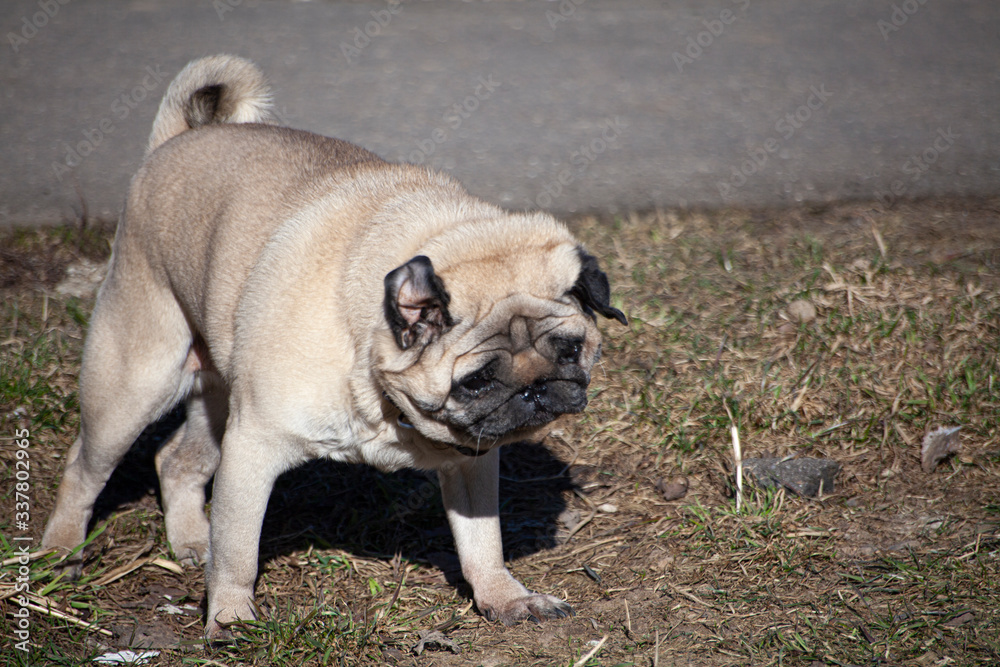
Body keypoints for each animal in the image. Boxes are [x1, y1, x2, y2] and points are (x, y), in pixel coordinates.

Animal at [48, 54, 624, 640]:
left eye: (570, 350)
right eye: (478, 380)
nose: (537, 387)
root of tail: (177, 140)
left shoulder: (471, 462)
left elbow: (483, 544)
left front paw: (505, 598)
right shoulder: (253, 448)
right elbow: (237, 550)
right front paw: (231, 618)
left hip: (217, 400)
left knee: (175, 462)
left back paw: (188, 542)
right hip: (133, 387)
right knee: (84, 469)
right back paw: (60, 555)